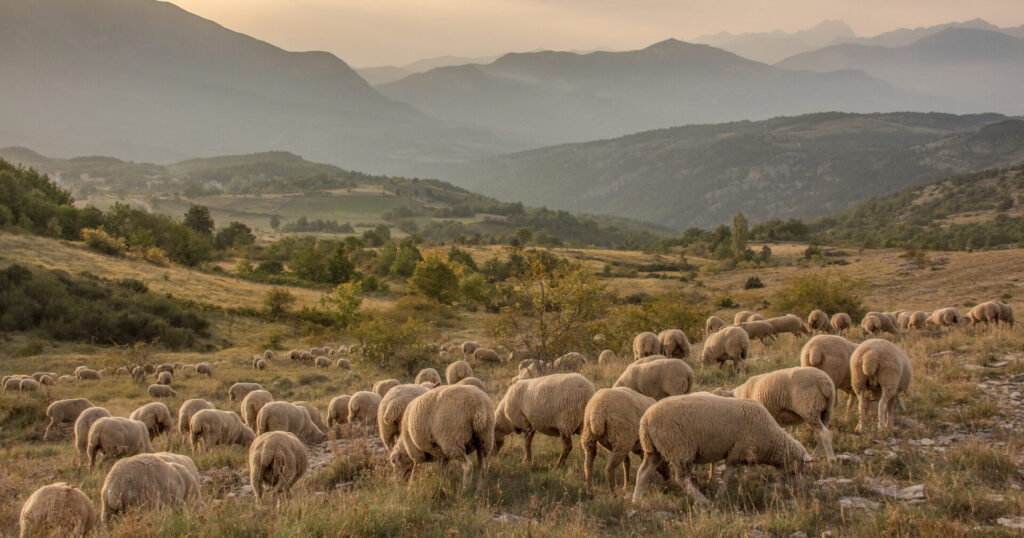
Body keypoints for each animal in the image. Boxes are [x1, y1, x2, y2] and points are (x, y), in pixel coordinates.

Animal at [631, 393, 812, 504]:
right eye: (801, 467)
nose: (801, 491)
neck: (771, 437)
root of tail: (645, 420)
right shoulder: (736, 452)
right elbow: (727, 475)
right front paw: (720, 495)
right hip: (679, 448)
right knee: (681, 479)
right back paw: (703, 500)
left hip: (653, 450)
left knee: (643, 472)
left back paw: (636, 499)